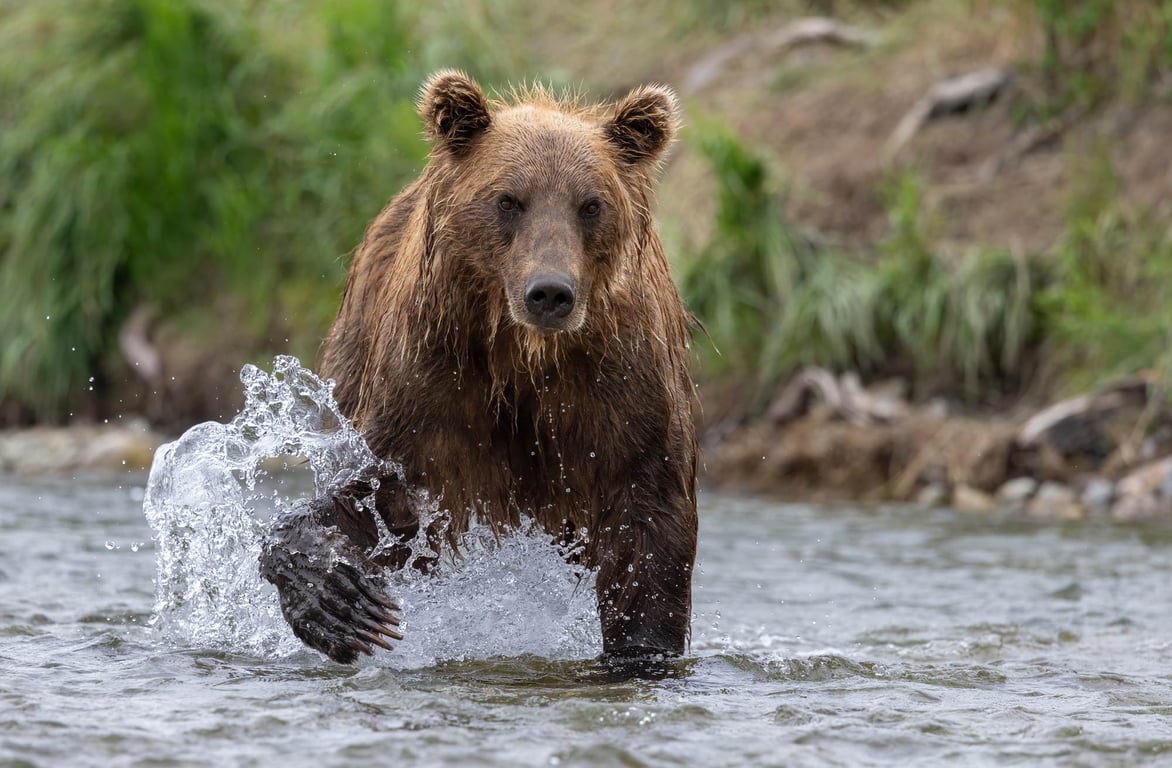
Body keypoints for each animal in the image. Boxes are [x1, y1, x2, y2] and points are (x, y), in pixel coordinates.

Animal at [259, 69, 693, 665]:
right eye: (508, 200)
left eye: (591, 204)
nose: (550, 293)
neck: (527, 358)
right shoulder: (430, 386)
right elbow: (375, 502)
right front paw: (343, 601)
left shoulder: (624, 389)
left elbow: (647, 534)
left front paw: (641, 650)